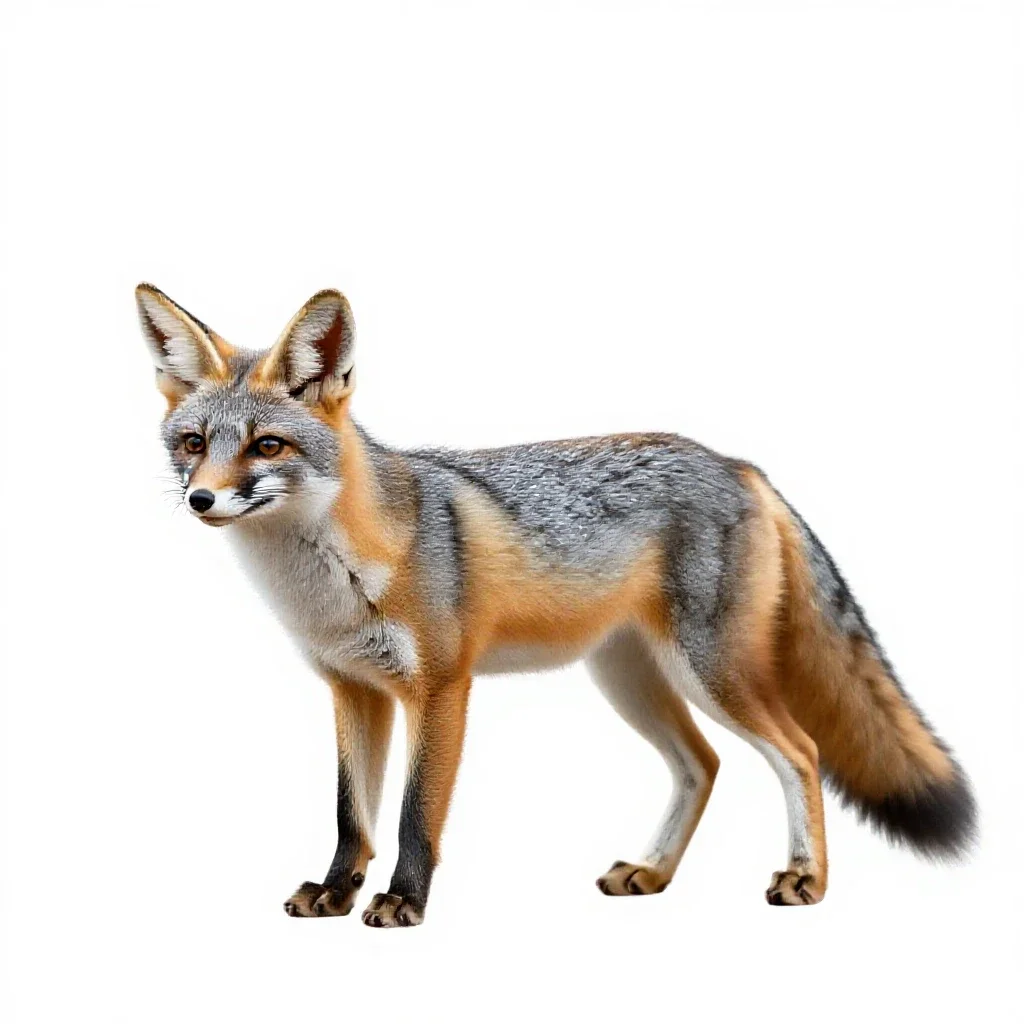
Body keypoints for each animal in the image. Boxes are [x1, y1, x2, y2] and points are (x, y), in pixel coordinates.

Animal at [138, 282, 976, 927]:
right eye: (193, 443)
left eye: (267, 447)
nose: (201, 500)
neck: (331, 584)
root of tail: (735, 462)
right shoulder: (353, 690)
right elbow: (353, 816)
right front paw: (336, 893)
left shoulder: (440, 688)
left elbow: (413, 816)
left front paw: (404, 902)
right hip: (628, 679)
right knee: (702, 765)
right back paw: (652, 872)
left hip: (713, 673)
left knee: (800, 753)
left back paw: (806, 878)